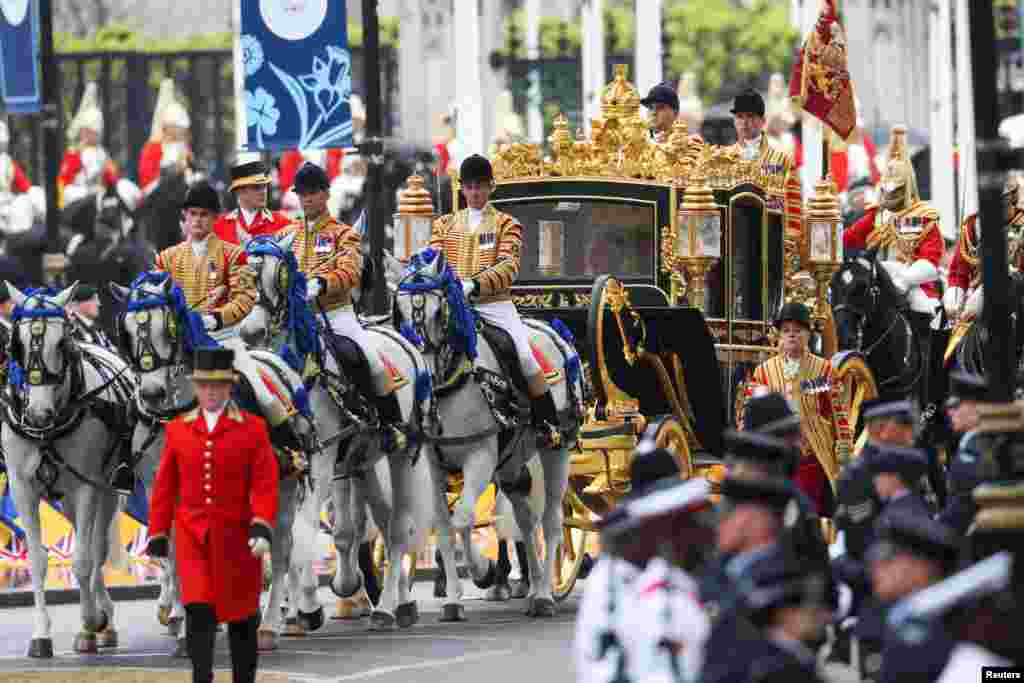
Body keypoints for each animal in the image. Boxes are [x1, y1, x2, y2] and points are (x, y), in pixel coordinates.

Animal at [1, 282, 134, 655]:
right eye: (16, 345)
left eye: (61, 344)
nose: (38, 414)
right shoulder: (22, 487)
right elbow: (37, 560)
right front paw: (41, 635)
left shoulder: (86, 487)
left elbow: (83, 559)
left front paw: (88, 624)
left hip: (105, 490)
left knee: (97, 547)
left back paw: (102, 620)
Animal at [111, 274, 323, 651]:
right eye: (126, 330)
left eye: (168, 327)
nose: (151, 394)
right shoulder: (160, 489)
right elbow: (175, 552)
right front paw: (184, 622)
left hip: (282, 489)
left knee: (281, 550)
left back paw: (269, 625)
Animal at [240, 233, 444, 630]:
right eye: (245, 274)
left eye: (279, 276)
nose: (251, 332)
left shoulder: (319, 463)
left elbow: (301, 533)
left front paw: (306, 605)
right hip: (361, 461)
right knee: (377, 521)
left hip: (401, 454)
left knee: (397, 527)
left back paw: (388, 607)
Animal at [382, 250, 581, 618]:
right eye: (399, 311)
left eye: (439, 310)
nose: (424, 378)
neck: (452, 381)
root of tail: (554, 330)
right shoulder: (434, 464)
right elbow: (445, 527)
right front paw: (452, 601)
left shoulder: (480, 457)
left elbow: (463, 518)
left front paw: (482, 571)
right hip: (512, 463)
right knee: (525, 520)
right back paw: (533, 586)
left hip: (556, 449)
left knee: (551, 520)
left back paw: (546, 594)